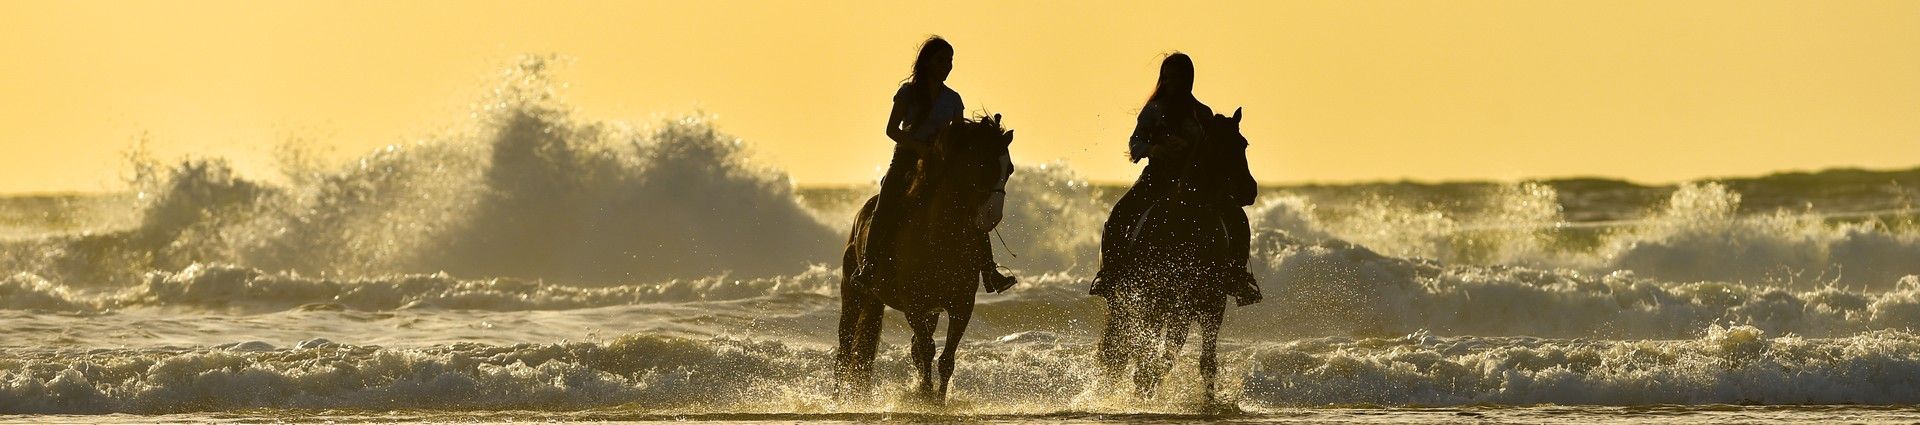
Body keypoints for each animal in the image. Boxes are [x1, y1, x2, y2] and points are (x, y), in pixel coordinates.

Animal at [840, 112, 1021, 401]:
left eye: (1009, 169)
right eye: (982, 163)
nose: (991, 217)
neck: (939, 236)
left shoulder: (961, 305)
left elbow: (945, 358)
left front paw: (938, 399)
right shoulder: (914, 305)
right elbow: (927, 349)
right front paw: (925, 395)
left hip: (923, 309)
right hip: (854, 293)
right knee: (845, 349)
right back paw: (837, 397)